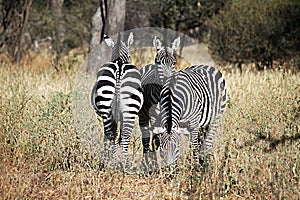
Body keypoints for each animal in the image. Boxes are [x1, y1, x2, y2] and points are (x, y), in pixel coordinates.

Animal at [90, 32, 144, 170]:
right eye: (130, 55)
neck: (119, 59)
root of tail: (119, 67)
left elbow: (107, 136)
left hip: (107, 107)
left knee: (111, 134)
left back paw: (110, 163)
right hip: (129, 110)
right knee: (123, 136)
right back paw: (124, 164)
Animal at [138, 35, 180, 172]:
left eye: (173, 63)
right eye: (159, 62)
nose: (169, 81)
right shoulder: (154, 117)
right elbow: (156, 140)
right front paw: (159, 166)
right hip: (143, 116)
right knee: (146, 139)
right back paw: (146, 163)